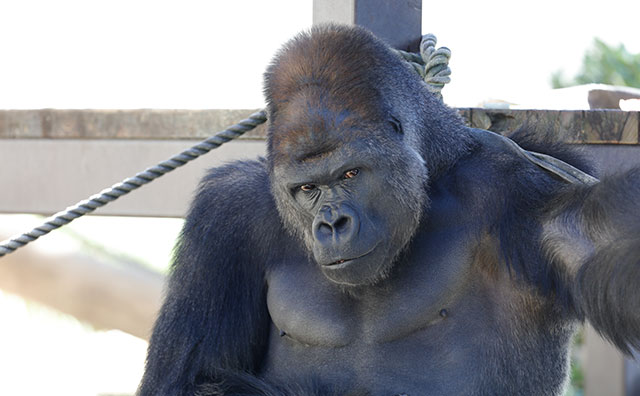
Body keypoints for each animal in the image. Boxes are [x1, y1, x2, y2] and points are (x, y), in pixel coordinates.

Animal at [140, 25, 640, 396]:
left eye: (350, 174)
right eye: (306, 189)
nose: (332, 224)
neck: (435, 169)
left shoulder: (520, 183)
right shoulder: (225, 216)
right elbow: (186, 380)